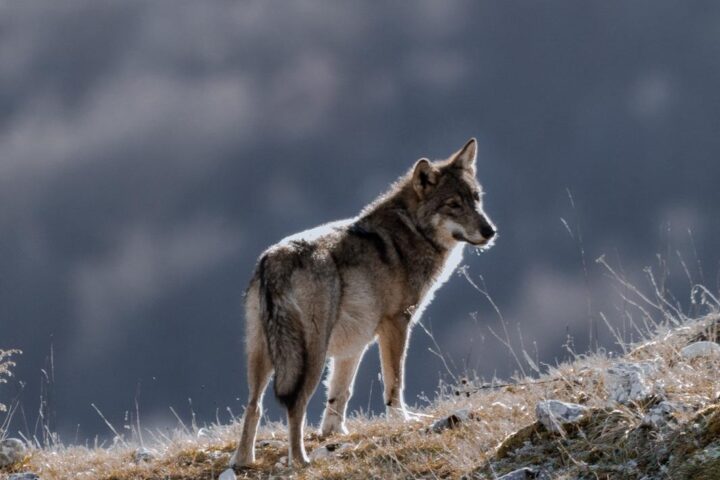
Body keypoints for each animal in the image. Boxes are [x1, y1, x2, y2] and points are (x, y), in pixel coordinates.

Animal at [230, 138, 496, 468]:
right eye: (453, 205)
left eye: (476, 199)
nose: (490, 231)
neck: (412, 232)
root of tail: (276, 260)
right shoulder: (396, 324)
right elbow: (394, 381)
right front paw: (402, 420)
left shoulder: (354, 345)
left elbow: (339, 394)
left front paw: (334, 433)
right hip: (309, 355)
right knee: (295, 405)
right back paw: (301, 461)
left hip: (263, 355)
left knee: (253, 406)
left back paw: (243, 462)